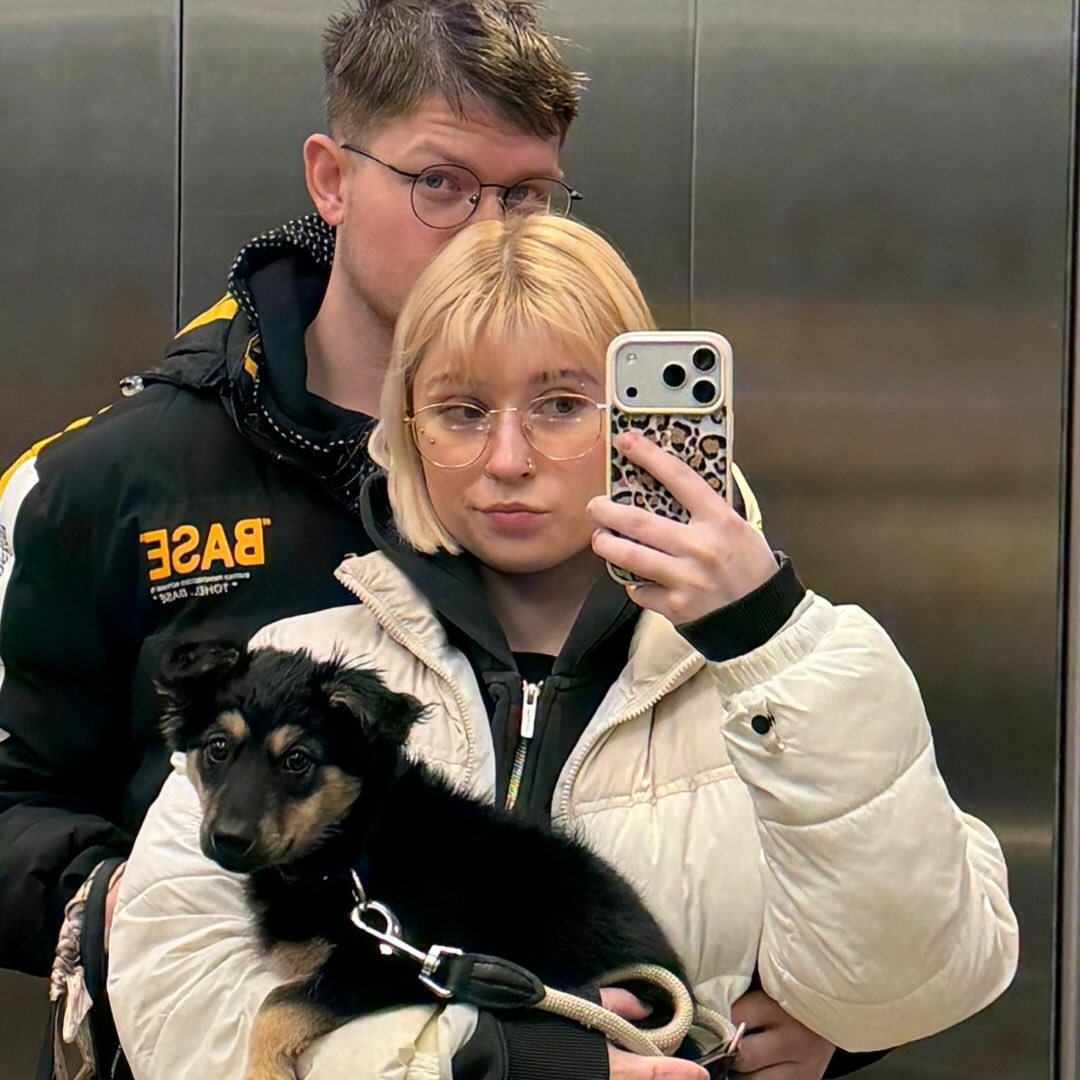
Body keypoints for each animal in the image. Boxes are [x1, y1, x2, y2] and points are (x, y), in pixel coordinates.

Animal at [156, 641, 691, 1080]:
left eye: (297, 760)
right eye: (218, 748)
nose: (227, 839)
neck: (351, 852)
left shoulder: (397, 965)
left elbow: (276, 1005)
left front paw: (265, 1072)